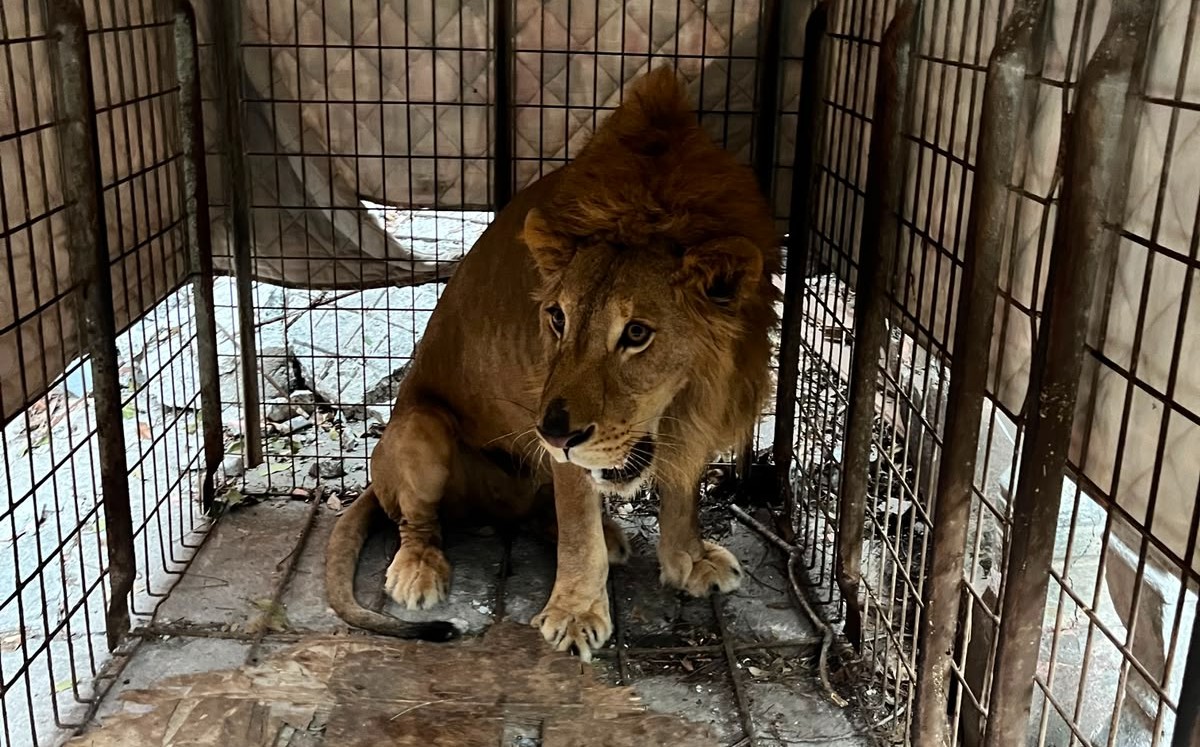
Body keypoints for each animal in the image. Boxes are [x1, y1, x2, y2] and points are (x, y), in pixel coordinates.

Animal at [325, 66, 781, 659]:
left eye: (636, 333)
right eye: (558, 319)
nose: (555, 434)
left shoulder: (700, 412)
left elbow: (681, 493)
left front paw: (688, 559)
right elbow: (578, 524)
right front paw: (576, 613)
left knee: (542, 513)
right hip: (420, 430)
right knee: (419, 520)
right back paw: (418, 572)